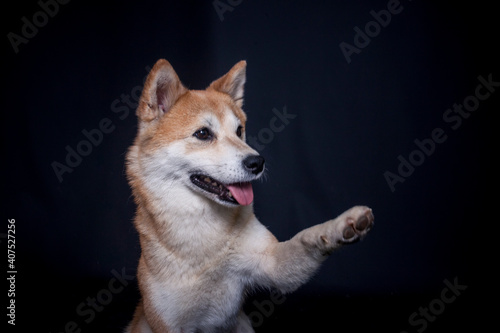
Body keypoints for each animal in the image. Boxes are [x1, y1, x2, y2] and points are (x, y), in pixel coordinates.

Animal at [125, 59, 376, 332]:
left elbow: (306, 238)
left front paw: (342, 225)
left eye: (239, 131)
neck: (205, 233)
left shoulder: (272, 264)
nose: (257, 162)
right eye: (203, 134)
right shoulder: (168, 322)